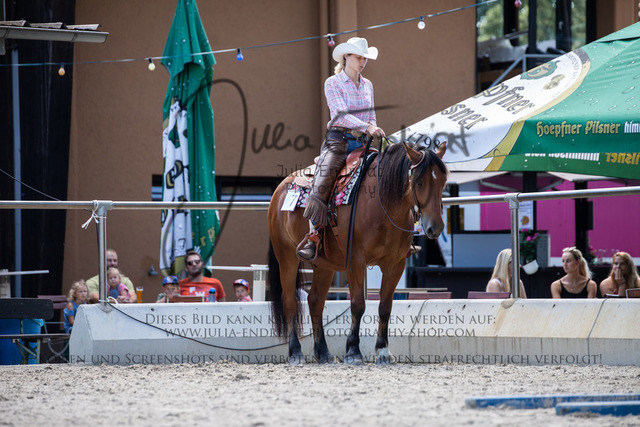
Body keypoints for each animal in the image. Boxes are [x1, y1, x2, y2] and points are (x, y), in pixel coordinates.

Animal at [267, 141, 448, 364]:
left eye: (443, 181)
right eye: (420, 182)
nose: (436, 228)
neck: (381, 203)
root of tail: (280, 189)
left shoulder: (396, 265)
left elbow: (385, 306)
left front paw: (383, 351)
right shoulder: (356, 261)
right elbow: (358, 304)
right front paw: (353, 351)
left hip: (323, 265)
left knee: (315, 301)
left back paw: (324, 353)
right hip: (286, 258)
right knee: (290, 302)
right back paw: (296, 352)